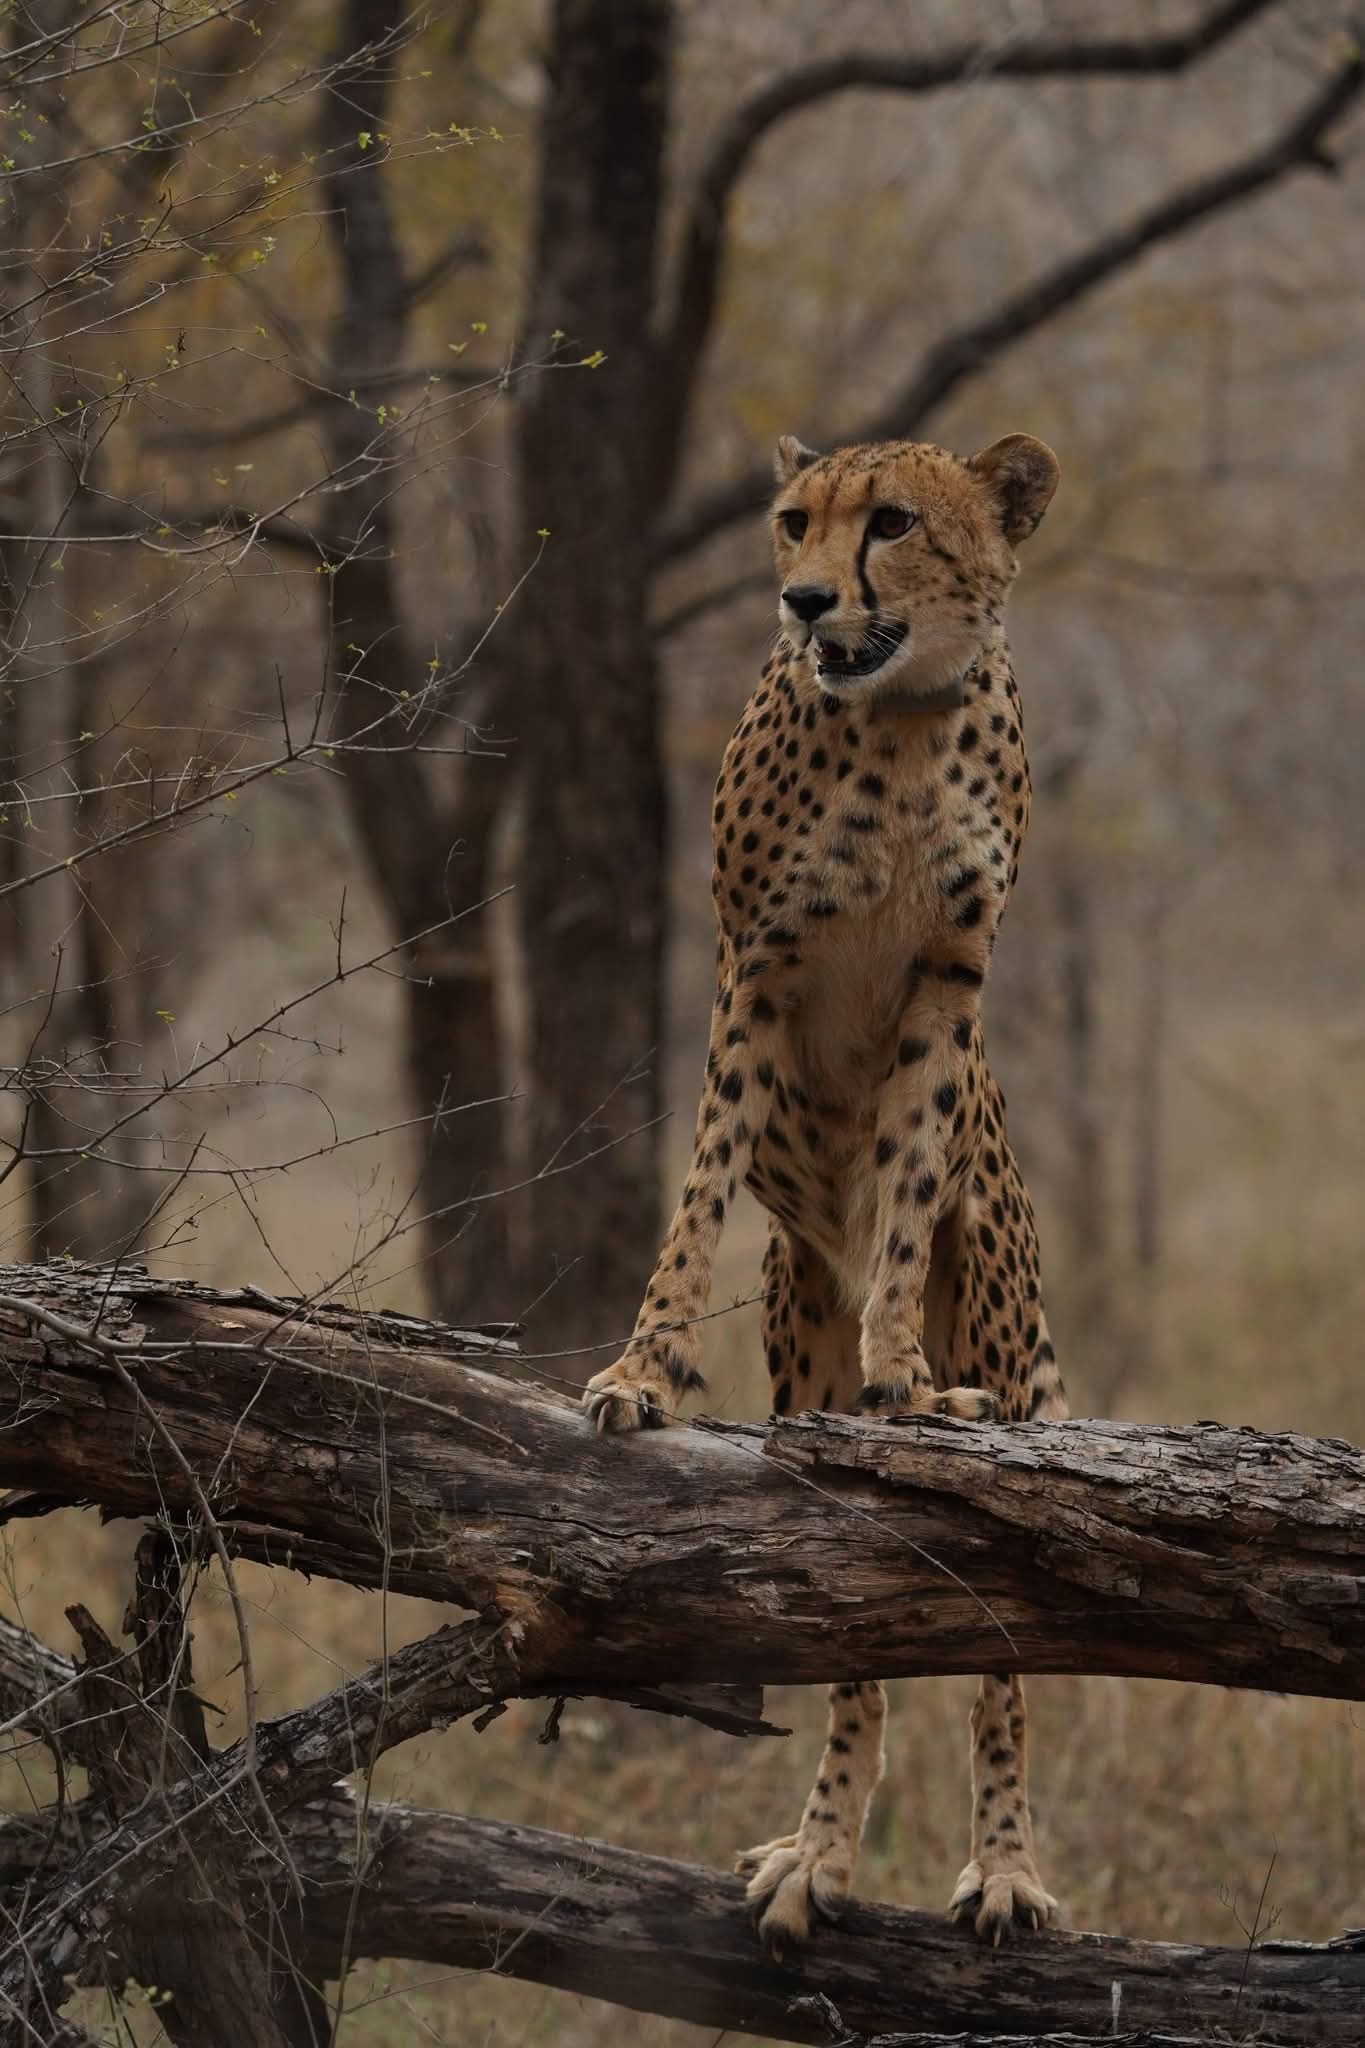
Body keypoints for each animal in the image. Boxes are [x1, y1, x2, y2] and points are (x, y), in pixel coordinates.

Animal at [582, 429, 1068, 1953]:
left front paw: (904, 1377)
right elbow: (697, 1190)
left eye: (894, 524)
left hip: (1011, 1327)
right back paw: (821, 1852)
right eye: (793, 521)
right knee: (853, 1650)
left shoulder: (947, 984)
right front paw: (642, 1373)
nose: (802, 602)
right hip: (797, 1323)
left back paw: (1003, 1861)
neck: (901, 719)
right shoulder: (760, 965)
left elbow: (904, 1190)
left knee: (1006, 1666)